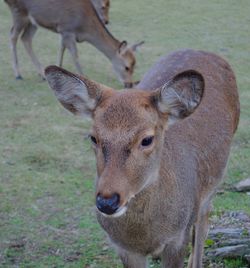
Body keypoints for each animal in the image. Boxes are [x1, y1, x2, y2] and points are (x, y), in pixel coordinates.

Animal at [3, 0, 142, 87]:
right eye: (127, 67)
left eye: (135, 65)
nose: (129, 84)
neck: (84, 27)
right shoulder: (67, 29)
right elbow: (74, 54)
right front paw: (83, 76)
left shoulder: (63, 32)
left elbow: (61, 48)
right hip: (19, 12)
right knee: (13, 35)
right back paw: (18, 74)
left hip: (33, 21)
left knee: (26, 38)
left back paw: (41, 73)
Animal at [45, 49, 240, 266]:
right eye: (93, 137)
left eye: (147, 139)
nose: (107, 202)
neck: (144, 237)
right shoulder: (123, 247)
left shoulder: (178, 238)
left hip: (211, 188)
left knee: (203, 224)